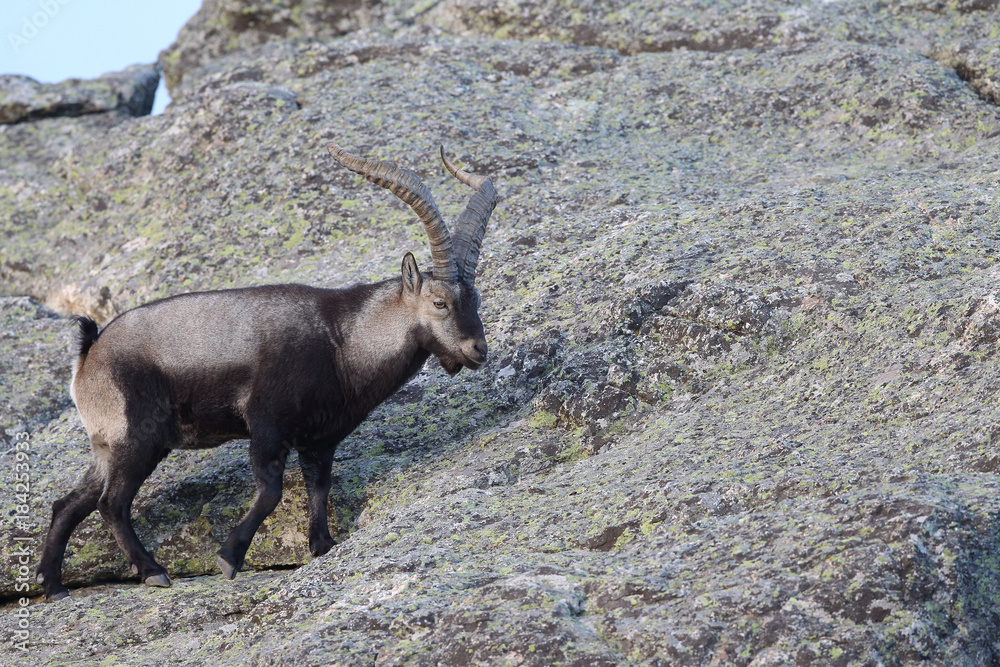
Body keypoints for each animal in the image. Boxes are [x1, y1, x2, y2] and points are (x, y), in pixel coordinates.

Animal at [37, 144, 498, 604]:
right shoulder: (266, 421)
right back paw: (152, 571)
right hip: (138, 438)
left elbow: (319, 486)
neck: (343, 340)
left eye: (476, 299)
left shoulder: (319, 438)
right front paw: (229, 557)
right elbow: (272, 490)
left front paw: (322, 545)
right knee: (110, 503)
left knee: (68, 504)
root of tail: (90, 354)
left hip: (107, 444)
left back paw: (53, 584)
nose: (478, 349)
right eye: (439, 302)